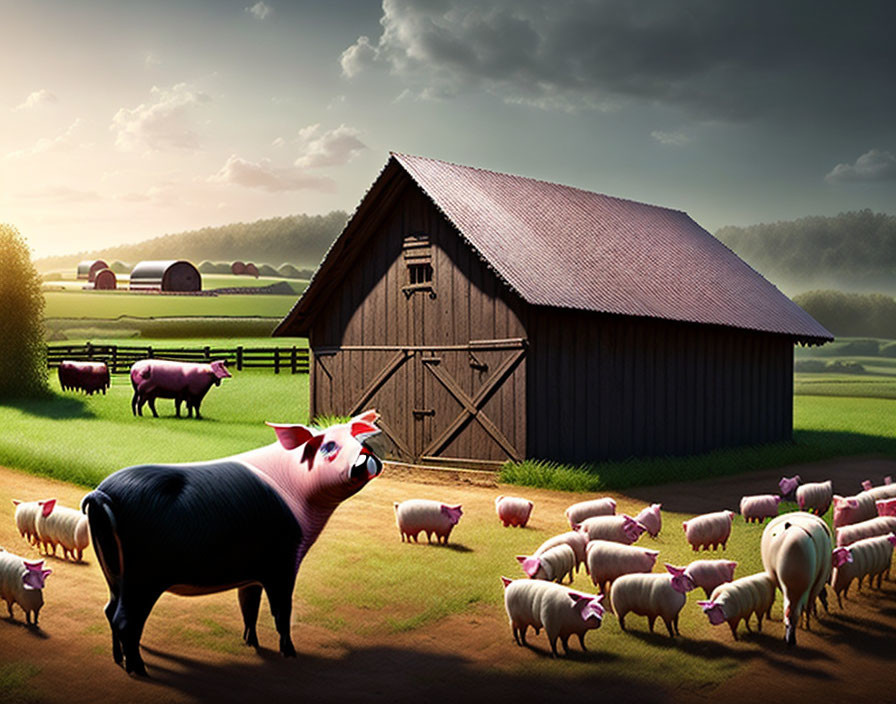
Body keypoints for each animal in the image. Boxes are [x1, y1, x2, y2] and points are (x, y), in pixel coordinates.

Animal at [85, 412, 388, 676]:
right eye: (329, 446)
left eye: (358, 442)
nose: (367, 457)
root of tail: (101, 494)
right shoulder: (283, 562)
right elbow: (282, 611)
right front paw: (290, 654)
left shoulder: (251, 573)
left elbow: (248, 606)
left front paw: (250, 643)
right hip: (141, 577)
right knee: (124, 620)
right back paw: (138, 670)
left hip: (114, 573)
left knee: (110, 611)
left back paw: (119, 661)